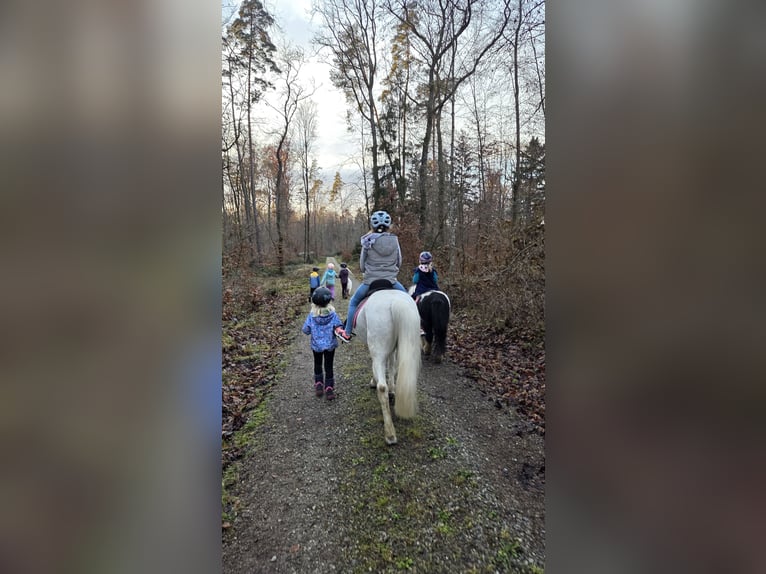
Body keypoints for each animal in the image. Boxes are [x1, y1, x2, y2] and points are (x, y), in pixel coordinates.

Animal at [353, 288, 421, 445]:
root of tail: (395, 301)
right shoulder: (392, 349)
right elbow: (391, 367)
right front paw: (392, 390)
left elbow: (376, 369)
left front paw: (373, 381)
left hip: (377, 348)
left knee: (381, 388)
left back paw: (390, 434)